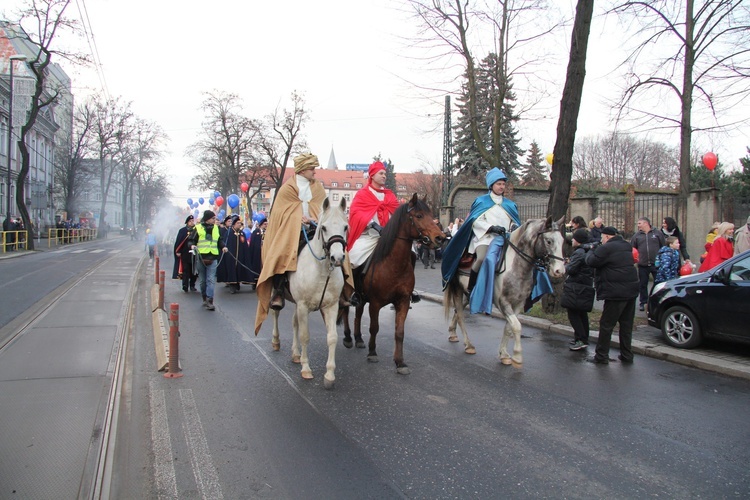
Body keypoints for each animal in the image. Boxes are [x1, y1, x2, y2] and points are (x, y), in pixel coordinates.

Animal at [272, 197, 352, 388]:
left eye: (345, 227)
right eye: (324, 227)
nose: (337, 258)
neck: (321, 270)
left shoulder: (331, 306)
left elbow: (332, 337)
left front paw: (329, 375)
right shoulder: (303, 306)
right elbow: (305, 336)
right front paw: (306, 368)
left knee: (294, 322)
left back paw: (295, 354)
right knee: (275, 313)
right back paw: (276, 341)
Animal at [340, 193, 446, 374]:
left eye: (432, 215)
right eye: (419, 216)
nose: (441, 238)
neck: (393, 265)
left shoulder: (402, 301)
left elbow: (400, 332)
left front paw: (400, 362)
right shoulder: (375, 303)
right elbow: (374, 327)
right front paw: (372, 353)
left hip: (361, 297)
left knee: (358, 314)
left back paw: (359, 339)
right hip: (347, 289)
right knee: (346, 310)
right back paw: (347, 338)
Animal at [446, 218, 564, 368]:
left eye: (563, 240)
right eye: (548, 241)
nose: (559, 271)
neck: (517, 268)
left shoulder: (519, 303)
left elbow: (509, 327)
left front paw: (504, 355)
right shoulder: (503, 302)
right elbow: (516, 326)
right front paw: (517, 356)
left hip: (468, 294)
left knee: (457, 311)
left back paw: (452, 333)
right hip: (457, 288)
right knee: (460, 315)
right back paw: (469, 345)